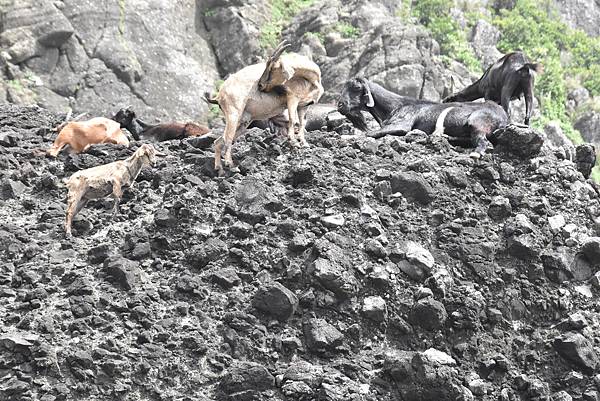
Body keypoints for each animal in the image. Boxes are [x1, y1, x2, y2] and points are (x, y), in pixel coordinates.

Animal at [338, 76, 506, 157]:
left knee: (484, 141)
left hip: (477, 121)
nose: (340, 105)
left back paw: (475, 154)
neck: (396, 105)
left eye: (356, 88)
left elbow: (369, 133)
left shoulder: (402, 124)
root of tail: (503, 116)